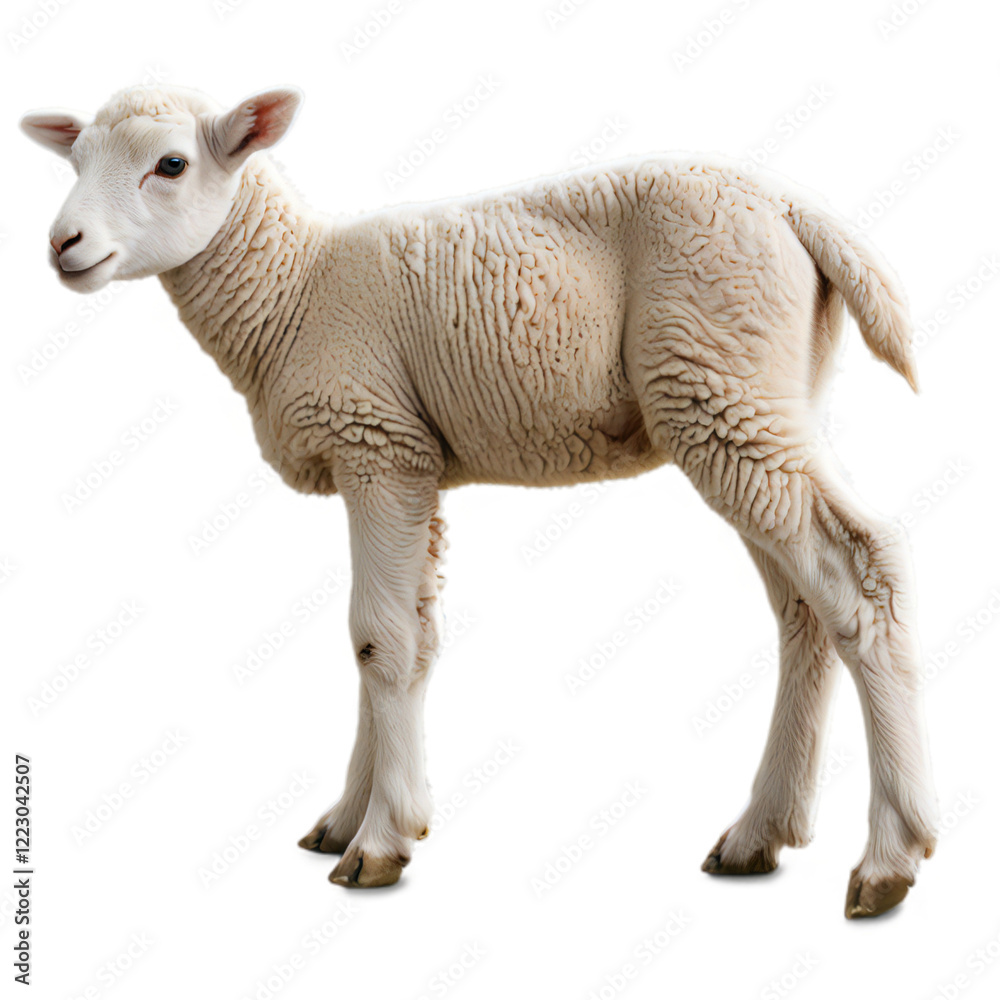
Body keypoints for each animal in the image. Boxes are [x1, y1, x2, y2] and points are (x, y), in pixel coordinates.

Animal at [20, 84, 939, 917]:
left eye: (171, 165)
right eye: (75, 159)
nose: (62, 244)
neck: (297, 288)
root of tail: (794, 208)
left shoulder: (376, 442)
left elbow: (377, 640)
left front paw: (377, 845)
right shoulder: (407, 458)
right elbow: (407, 640)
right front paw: (354, 816)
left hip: (719, 379)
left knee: (862, 573)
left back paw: (890, 858)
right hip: (761, 395)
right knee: (804, 607)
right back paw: (760, 834)